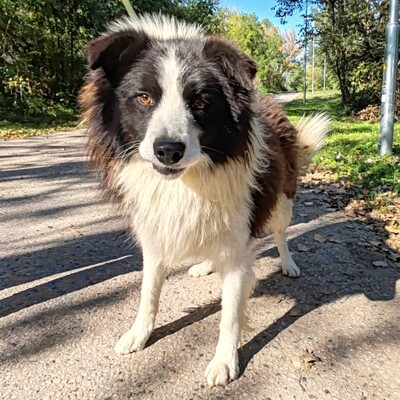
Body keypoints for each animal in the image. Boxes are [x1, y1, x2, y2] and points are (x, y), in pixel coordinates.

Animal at [79, 14, 330, 386]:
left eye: (200, 103)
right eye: (144, 98)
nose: (168, 150)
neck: (189, 179)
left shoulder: (240, 239)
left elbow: (230, 311)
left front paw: (224, 362)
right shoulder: (156, 228)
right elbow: (148, 292)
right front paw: (138, 334)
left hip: (282, 200)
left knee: (281, 233)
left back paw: (288, 264)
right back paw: (206, 265)